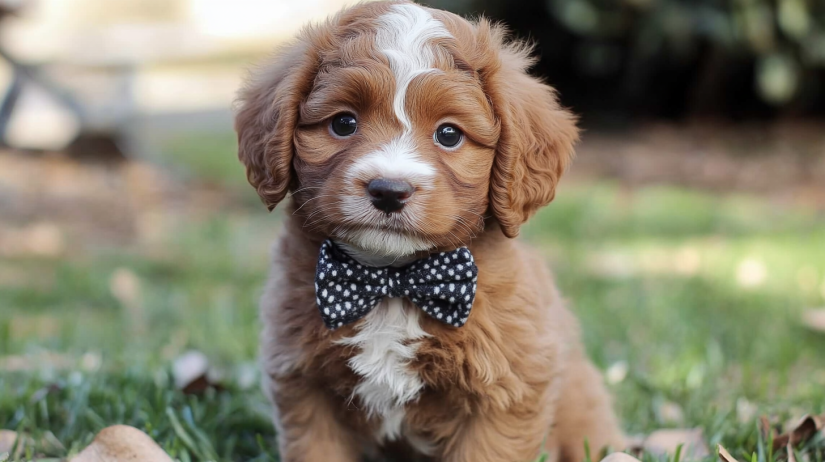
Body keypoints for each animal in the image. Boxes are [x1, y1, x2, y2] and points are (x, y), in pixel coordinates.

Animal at [235, 1, 620, 460]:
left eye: (449, 134)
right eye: (343, 123)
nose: (389, 190)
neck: (393, 281)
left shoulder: (503, 393)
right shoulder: (304, 385)